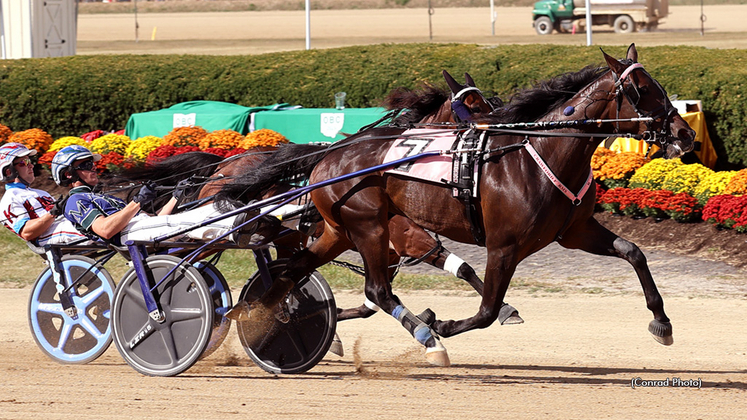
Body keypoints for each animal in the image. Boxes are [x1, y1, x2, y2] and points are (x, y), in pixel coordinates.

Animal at [215, 43, 696, 364]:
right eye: (641, 89)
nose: (685, 133)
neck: (536, 153)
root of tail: (333, 151)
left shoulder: (573, 231)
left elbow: (634, 252)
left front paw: (662, 322)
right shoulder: (503, 246)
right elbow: (485, 310)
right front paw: (443, 325)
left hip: (338, 231)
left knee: (290, 272)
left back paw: (260, 318)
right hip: (368, 225)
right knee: (374, 289)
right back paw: (426, 336)